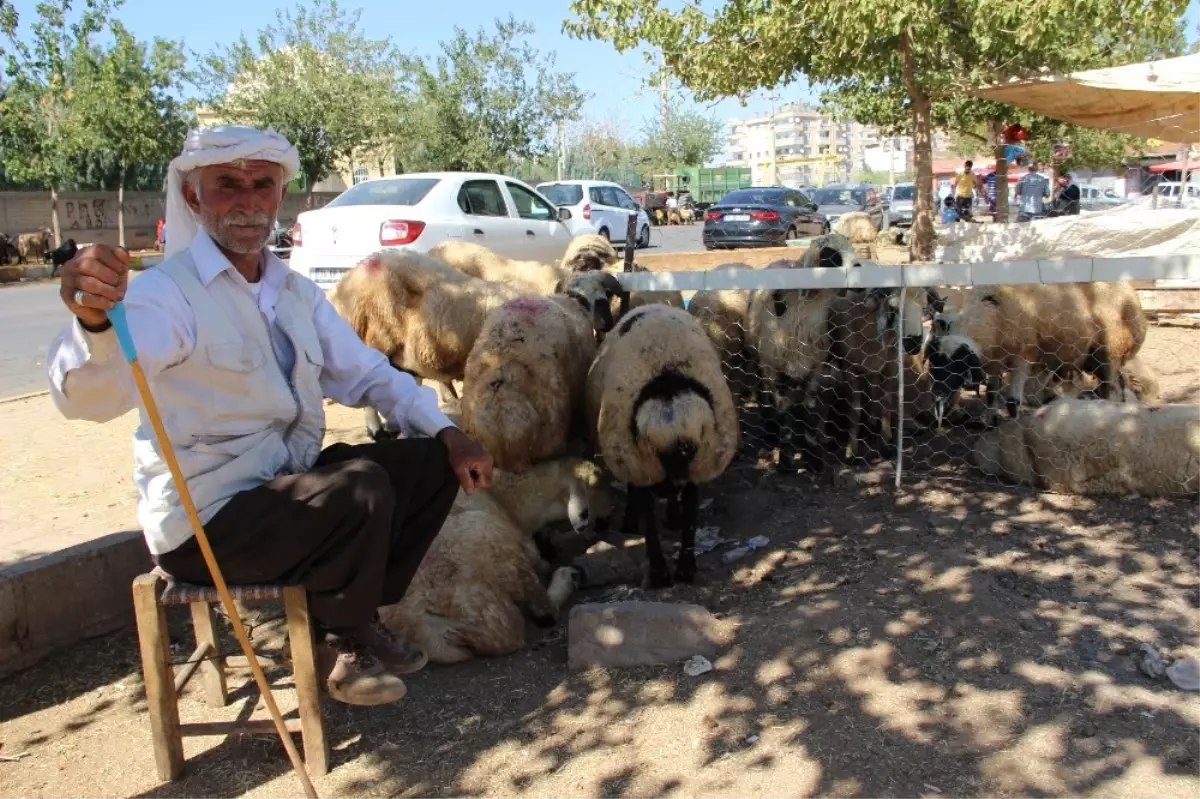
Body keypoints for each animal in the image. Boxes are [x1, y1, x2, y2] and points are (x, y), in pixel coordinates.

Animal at [376, 453, 609, 657]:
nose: (604, 522)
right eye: (593, 488)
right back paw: (568, 576)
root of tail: (413, 617)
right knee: (542, 612)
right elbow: (538, 558)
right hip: (492, 546)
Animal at [583, 303, 739, 585]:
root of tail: (654, 305)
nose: (677, 480)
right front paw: (659, 573)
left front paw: (685, 568)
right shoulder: (643, 464)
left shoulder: (696, 465)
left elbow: (690, 514)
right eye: (661, 451)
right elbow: (649, 520)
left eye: (691, 448)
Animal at [921, 281, 1147, 427]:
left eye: (958, 365)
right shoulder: (995, 360)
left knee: (1113, 390)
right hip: (1093, 358)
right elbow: (992, 393)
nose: (938, 400)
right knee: (1120, 385)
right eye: (934, 364)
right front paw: (989, 420)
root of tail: (1132, 294)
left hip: (1110, 351)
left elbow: (1013, 401)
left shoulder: (1024, 355)